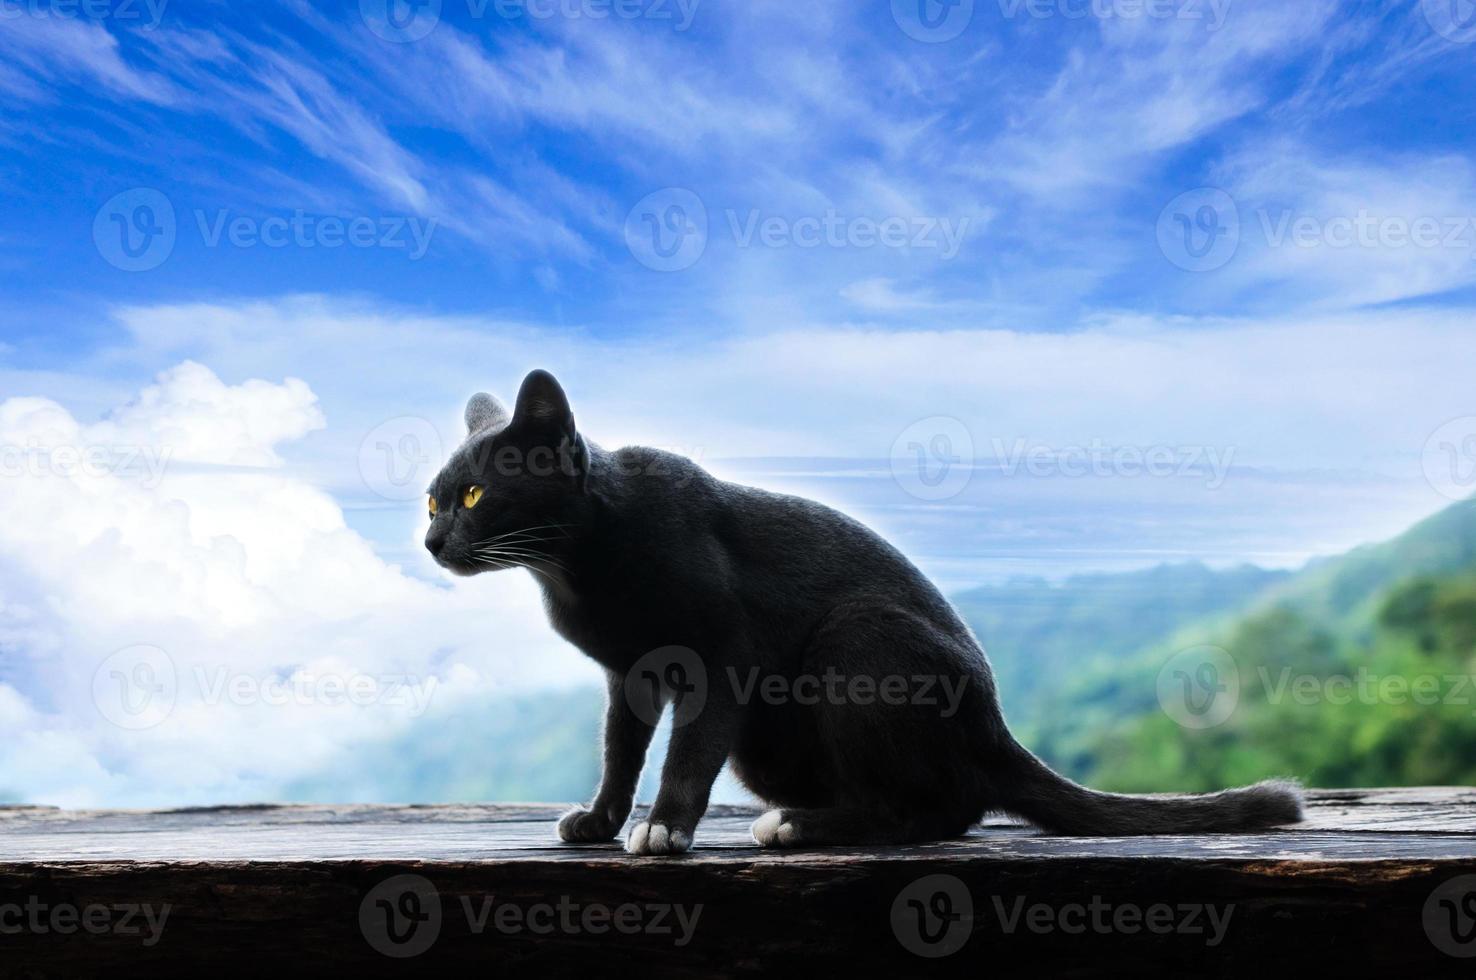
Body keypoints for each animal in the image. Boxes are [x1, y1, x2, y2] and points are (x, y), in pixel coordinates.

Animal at [428, 371, 1304, 856]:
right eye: (433, 500)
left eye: (472, 495)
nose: (431, 539)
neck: (573, 570)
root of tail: (994, 728)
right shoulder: (628, 675)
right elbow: (619, 751)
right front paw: (601, 821)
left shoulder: (721, 654)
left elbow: (686, 751)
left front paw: (665, 829)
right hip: (773, 741)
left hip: (853, 642)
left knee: (942, 808)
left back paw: (796, 827)